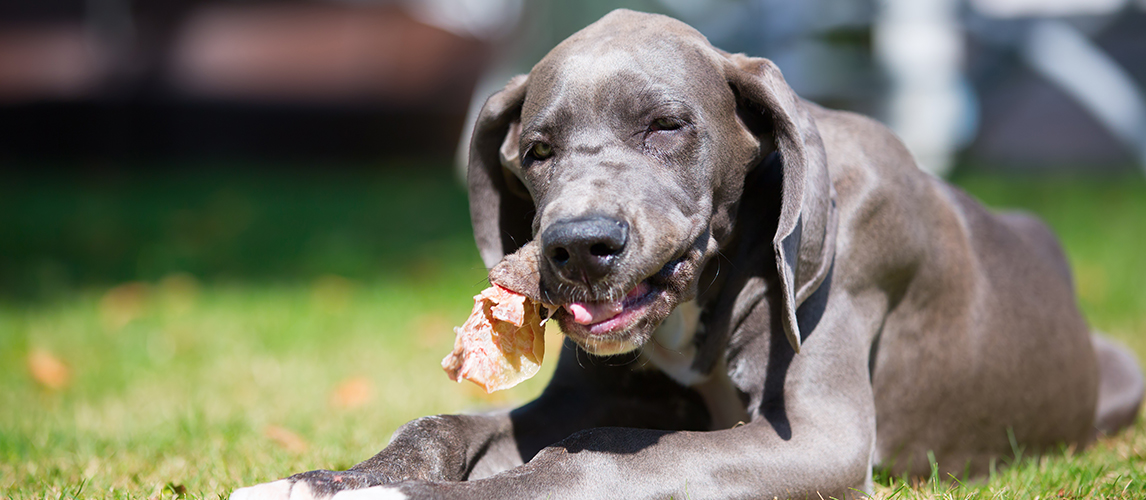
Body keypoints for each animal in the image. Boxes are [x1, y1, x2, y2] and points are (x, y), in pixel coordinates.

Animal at [230, 8, 1136, 499]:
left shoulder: (820, 440)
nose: (579, 246)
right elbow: (443, 422)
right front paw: (328, 478)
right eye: (537, 150)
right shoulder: (583, 396)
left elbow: (589, 460)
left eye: (666, 126)